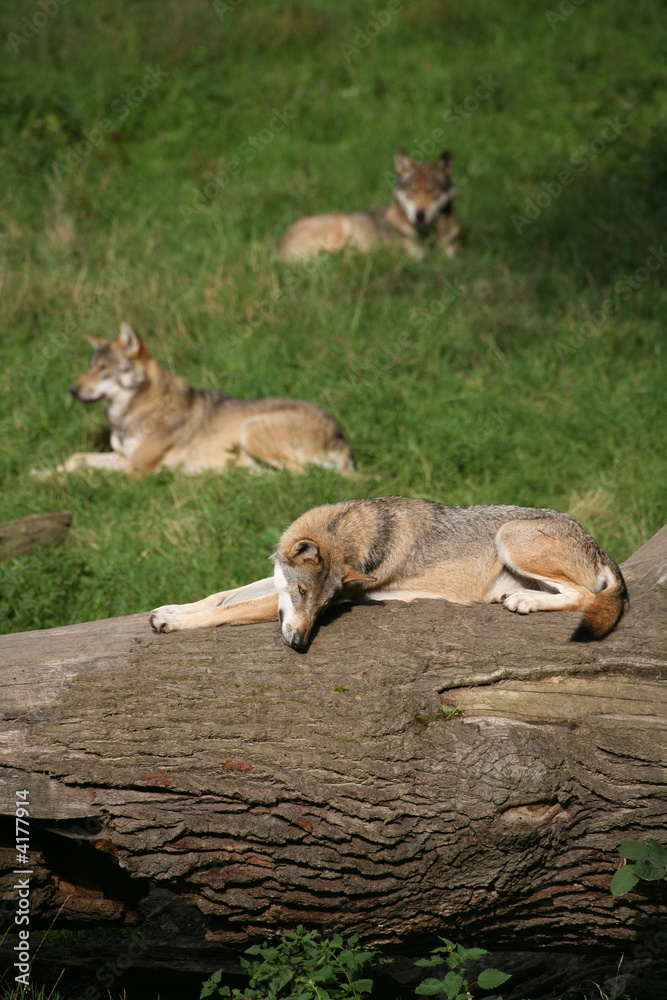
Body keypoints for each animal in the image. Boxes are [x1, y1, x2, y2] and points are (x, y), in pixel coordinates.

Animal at [54, 324, 355, 475]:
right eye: (90, 366)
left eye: (104, 368)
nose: (71, 389)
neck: (126, 417)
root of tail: (340, 437)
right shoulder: (120, 456)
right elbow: (75, 460)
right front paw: (48, 472)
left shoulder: (135, 468)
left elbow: (84, 472)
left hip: (250, 430)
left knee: (301, 474)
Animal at [150, 496, 628, 648]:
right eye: (303, 596)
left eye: (325, 609)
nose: (300, 643)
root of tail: (598, 543)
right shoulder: (273, 585)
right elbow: (219, 596)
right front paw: (170, 609)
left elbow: (224, 611)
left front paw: (174, 623)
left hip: (509, 537)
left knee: (585, 597)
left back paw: (525, 601)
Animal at [277, 150, 461, 261]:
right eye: (412, 191)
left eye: (433, 191)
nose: (420, 214)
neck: (429, 236)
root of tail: (278, 247)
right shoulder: (411, 257)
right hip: (339, 229)